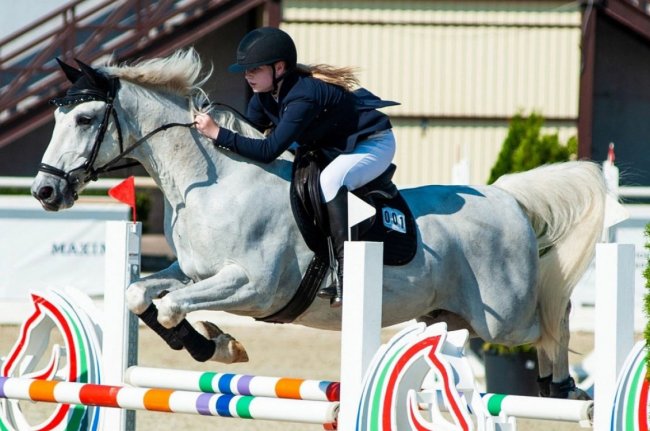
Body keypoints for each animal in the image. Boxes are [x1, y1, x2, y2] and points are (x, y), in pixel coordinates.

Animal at [33, 49, 604, 400]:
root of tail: (506, 197)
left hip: (504, 316)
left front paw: (216, 343)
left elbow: (172, 306)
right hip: (454, 315)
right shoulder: (194, 274)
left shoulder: (254, 287)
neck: (211, 183)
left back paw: (565, 388)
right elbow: (141, 295)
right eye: (58, 118)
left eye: (84, 119)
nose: (44, 192)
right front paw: (216, 344)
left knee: (553, 316)